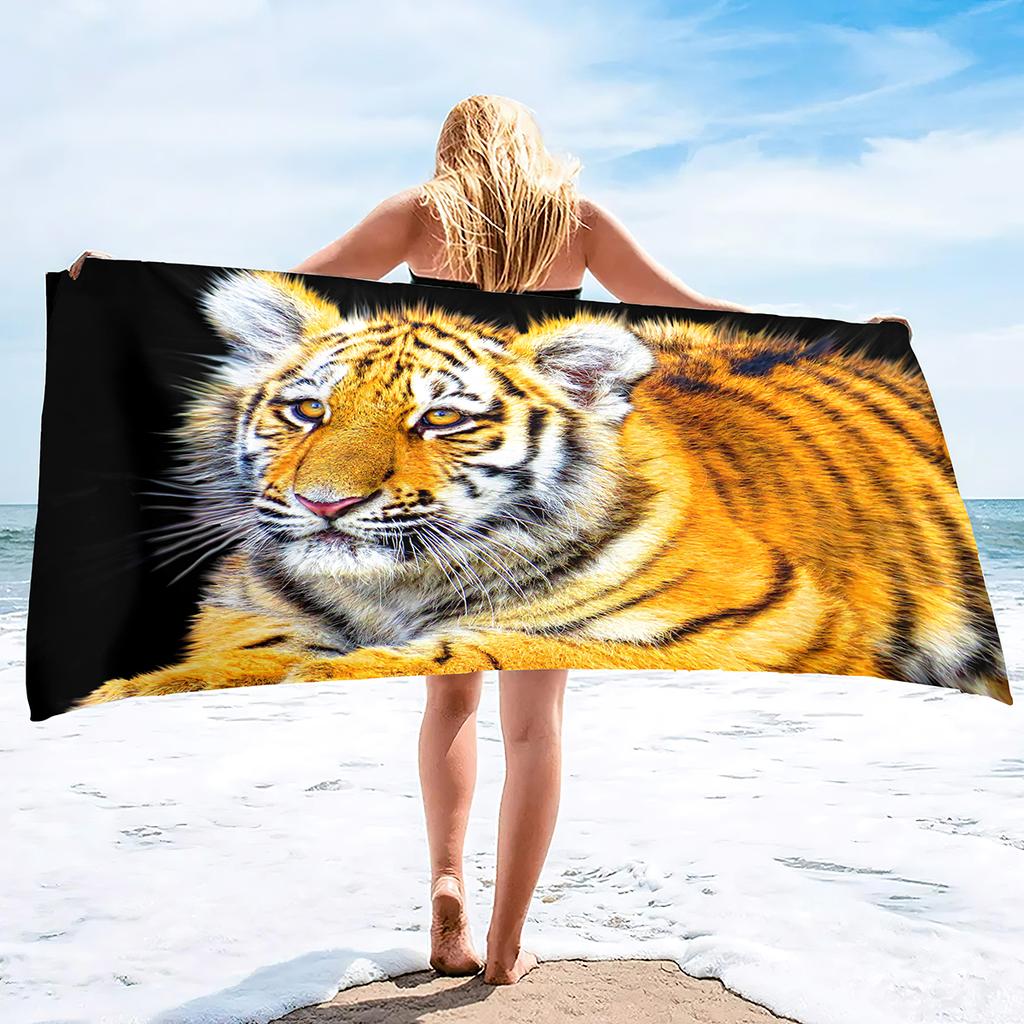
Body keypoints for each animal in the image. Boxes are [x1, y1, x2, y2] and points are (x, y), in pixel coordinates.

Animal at [80, 269, 1010, 706]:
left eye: (439, 420)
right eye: (308, 409)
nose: (325, 503)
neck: (391, 594)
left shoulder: (774, 629)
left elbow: (509, 647)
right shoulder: (253, 622)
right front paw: (135, 690)